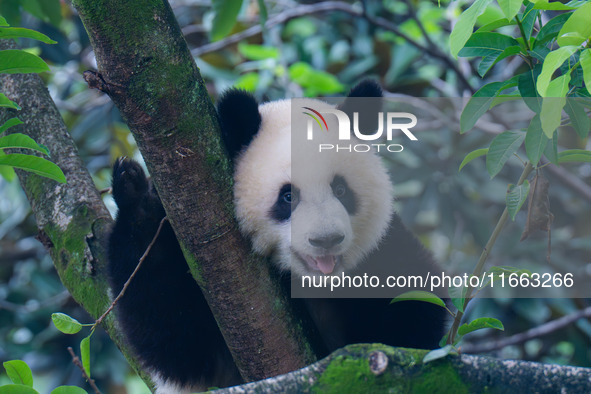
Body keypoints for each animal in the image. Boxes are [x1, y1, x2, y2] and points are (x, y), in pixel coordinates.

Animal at [108, 78, 446, 392]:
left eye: (340, 189)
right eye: (288, 196)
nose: (326, 240)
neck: (311, 283)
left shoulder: (383, 252)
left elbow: (414, 312)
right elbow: (174, 338)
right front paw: (134, 192)